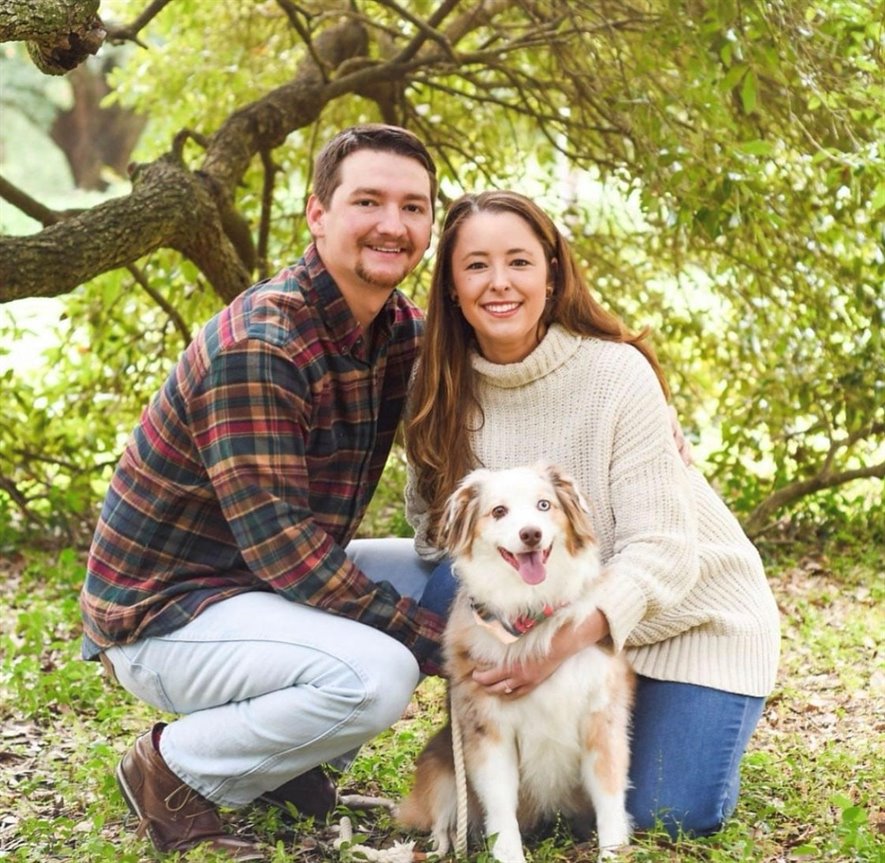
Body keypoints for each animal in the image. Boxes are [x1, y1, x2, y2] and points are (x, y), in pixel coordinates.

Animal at [398, 462, 632, 860]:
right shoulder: (489, 730)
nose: (531, 534)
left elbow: (609, 794)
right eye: (498, 511)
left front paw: (613, 851)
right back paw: (444, 844)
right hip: (441, 766)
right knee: (442, 818)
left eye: (544, 505)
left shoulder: (602, 719)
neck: (531, 610)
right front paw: (508, 853)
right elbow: (500, 806)